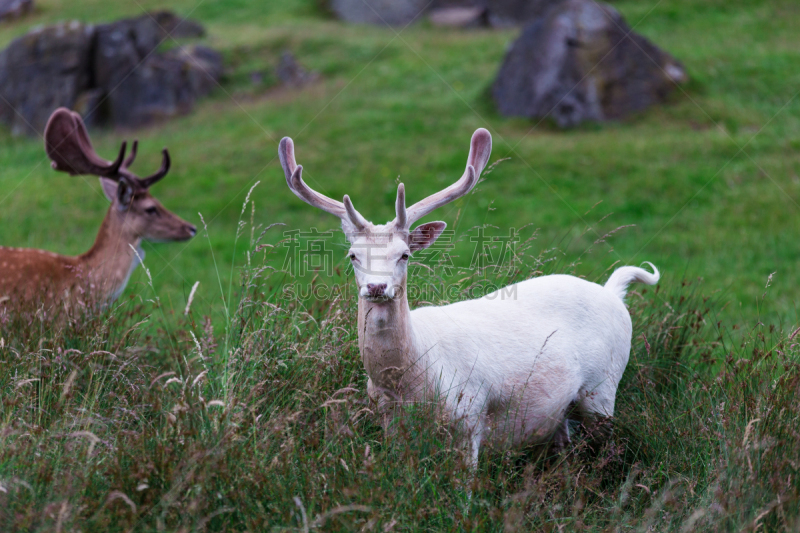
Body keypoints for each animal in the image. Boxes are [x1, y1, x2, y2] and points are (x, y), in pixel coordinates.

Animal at [278, 128, 660, 466]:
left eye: (405, 254)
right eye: (353, 256)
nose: (376, 288)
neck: (411, 382)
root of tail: (612, 292)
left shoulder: (470, 415)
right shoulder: (389, 423)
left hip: (603, 387)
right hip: (560, 410)